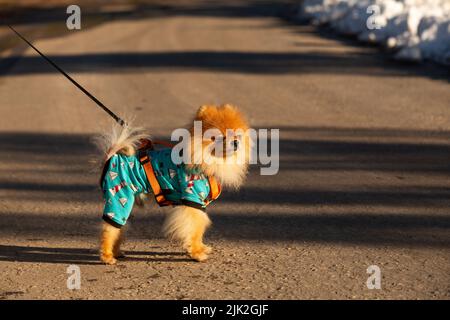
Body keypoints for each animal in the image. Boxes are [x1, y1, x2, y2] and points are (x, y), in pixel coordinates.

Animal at [96, 104, 251, 264]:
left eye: (236, 135)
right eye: (219, 137)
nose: (235, 142)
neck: (205, 159)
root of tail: (111, 158)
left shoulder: (200, 204)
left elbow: (200, 227)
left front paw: (201, 248)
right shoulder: (192, 199)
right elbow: (195, 229)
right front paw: (197, 253)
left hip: (126, 200)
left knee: (120, 228)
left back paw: (117, 252)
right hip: (119, 197)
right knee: (110, 228)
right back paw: (107, 256)